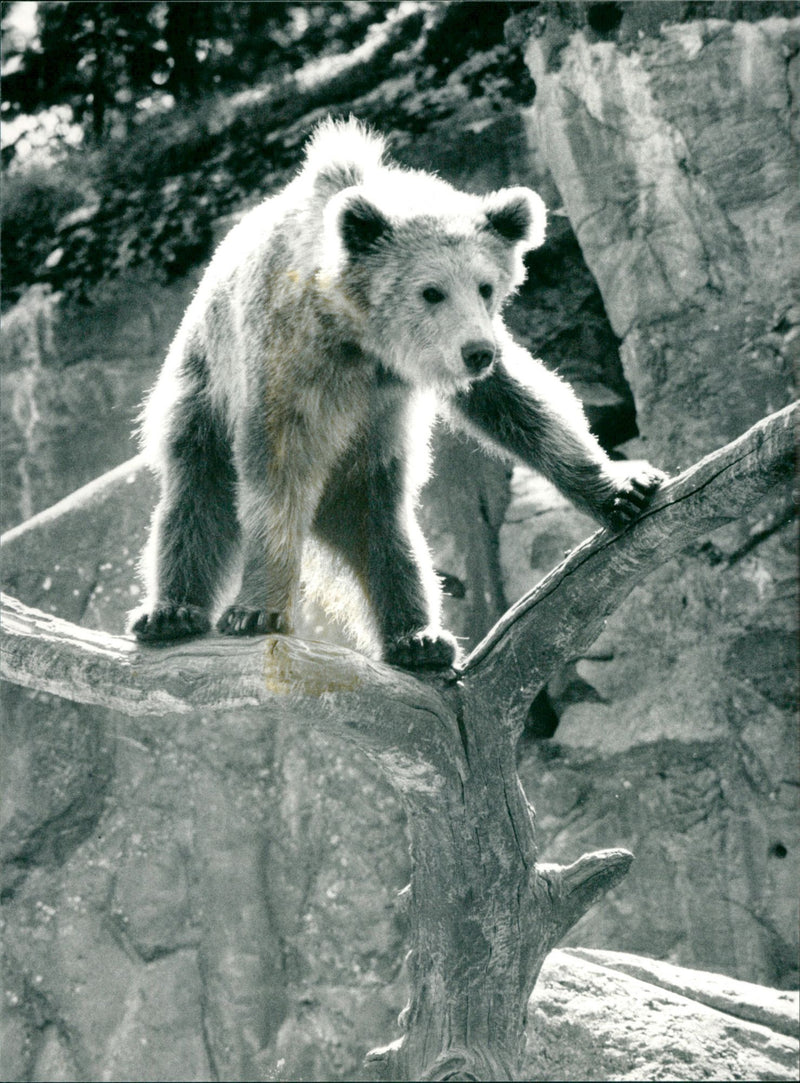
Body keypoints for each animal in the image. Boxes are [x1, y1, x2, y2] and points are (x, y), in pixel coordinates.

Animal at [129, 117, 666, 670]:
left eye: (486, 286)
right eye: (431, 290)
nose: (478, 353)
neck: (361, 338)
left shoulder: (425, 374)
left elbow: (524, 405)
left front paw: (624, 487)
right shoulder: (289, 363)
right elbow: (273, 473)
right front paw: (256, 610)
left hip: (369, 460)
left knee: (388, 531)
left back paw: (419, 637)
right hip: (202, 387)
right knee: (197, 492)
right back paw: (170, 610)